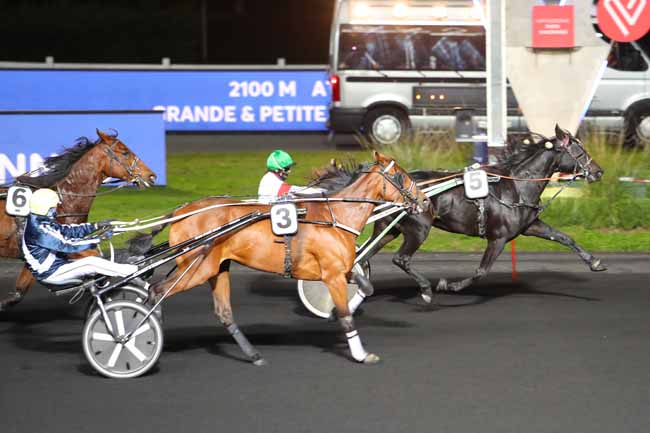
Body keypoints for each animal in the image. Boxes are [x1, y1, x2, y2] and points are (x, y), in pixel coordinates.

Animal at [0, 129, 157, 310]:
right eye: (125, 152)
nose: (151, 175)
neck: (62, 200)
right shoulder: (63, 245)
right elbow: (96, 257)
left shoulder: (35, 258)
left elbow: (18, 293)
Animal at [145, 151, 427, 365]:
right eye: (401, 176)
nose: (424, 200)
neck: (335, 215)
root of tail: (180, 212)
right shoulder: (332, 275)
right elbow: (347, 316)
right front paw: (361, 354)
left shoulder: (341, 269)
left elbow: (366, 286)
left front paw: (333, 312)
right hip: (197, 269)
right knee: (156, 290)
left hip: (216, 269)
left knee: (222, 312)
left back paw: (253, 355)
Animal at [322, 125, 604, 303]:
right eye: (580, 152)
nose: (599, 172)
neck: (516, 185)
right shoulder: (498, 238)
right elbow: (481, 271)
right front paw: (450, 285)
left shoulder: (529, 226)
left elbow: (565, 237)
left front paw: (595, 262)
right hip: (418, 228)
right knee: (400, 259)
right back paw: (425, 289)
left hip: (389, 229)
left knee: (363, 256)